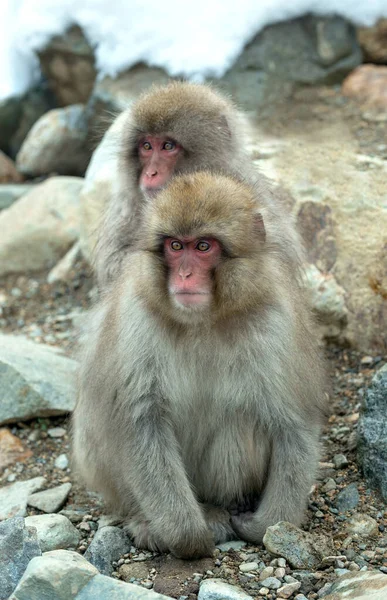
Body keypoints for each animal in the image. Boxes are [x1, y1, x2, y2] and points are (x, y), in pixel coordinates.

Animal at [73, 169, 328, 556]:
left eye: (203, 247)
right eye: (176, 247)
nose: (185, 275)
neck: (203, 321)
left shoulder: (276, 320)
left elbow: (293, 424)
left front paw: (264, 525)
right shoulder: (136, 316)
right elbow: (139, 423)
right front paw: (188, 536)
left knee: (244, 421)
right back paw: (152, 520)